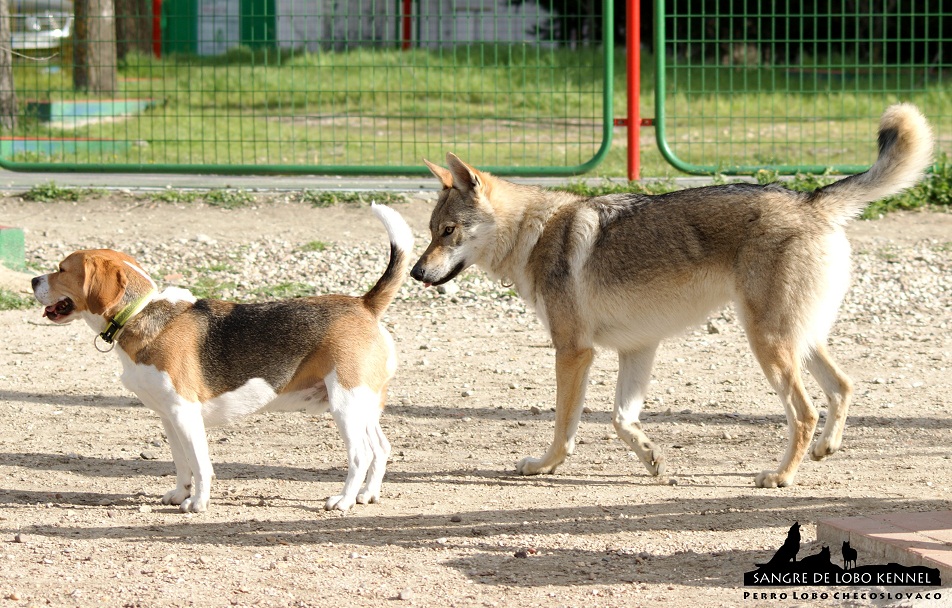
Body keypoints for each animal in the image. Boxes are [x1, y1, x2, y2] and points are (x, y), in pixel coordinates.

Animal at [32, 204, 412, 512]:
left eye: (62, 269)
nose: (34, 280)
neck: (140, 313)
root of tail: (364, 304)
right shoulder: (168, 417)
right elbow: (181, 463)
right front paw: (178, 494)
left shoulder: (185, 414)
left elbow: (200, 465)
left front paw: (197, 503)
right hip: (364, 404)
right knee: (381, 448)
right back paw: (367, 495)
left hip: (345, 404)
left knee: (361, 454)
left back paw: (344, 500)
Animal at [412, 102, 932, 486]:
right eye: (432, 230)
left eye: (448, 231)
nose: (414, 272)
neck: (535, 232)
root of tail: (810, 199)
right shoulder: (638, 348)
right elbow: (622, 421)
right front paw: (653, 461)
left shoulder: (574, 352)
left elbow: (564, 427)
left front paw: (544, 466)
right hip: (799, 340)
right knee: (842, 387)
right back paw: (827, 448)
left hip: (768, 344)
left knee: (804, 412)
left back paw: (780, 476)